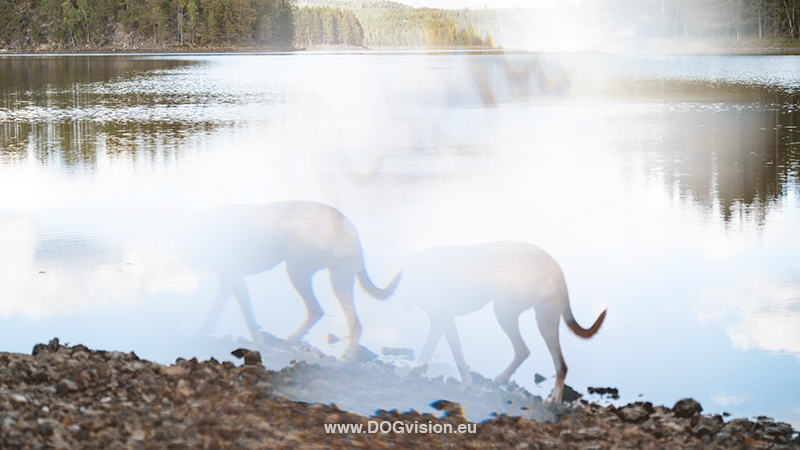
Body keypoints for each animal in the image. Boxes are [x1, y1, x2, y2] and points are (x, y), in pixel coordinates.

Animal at [400, 243, 608, 404]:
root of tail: (556, 269)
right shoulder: (440, 320)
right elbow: (430, 349)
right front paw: (415, 373)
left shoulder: (444, 319)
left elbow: (455, 354)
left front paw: (464, 384)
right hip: (537, 318)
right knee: (529, 353)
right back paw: (505, 379)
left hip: (510, 312)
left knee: (556, 364)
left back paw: (553, 399)